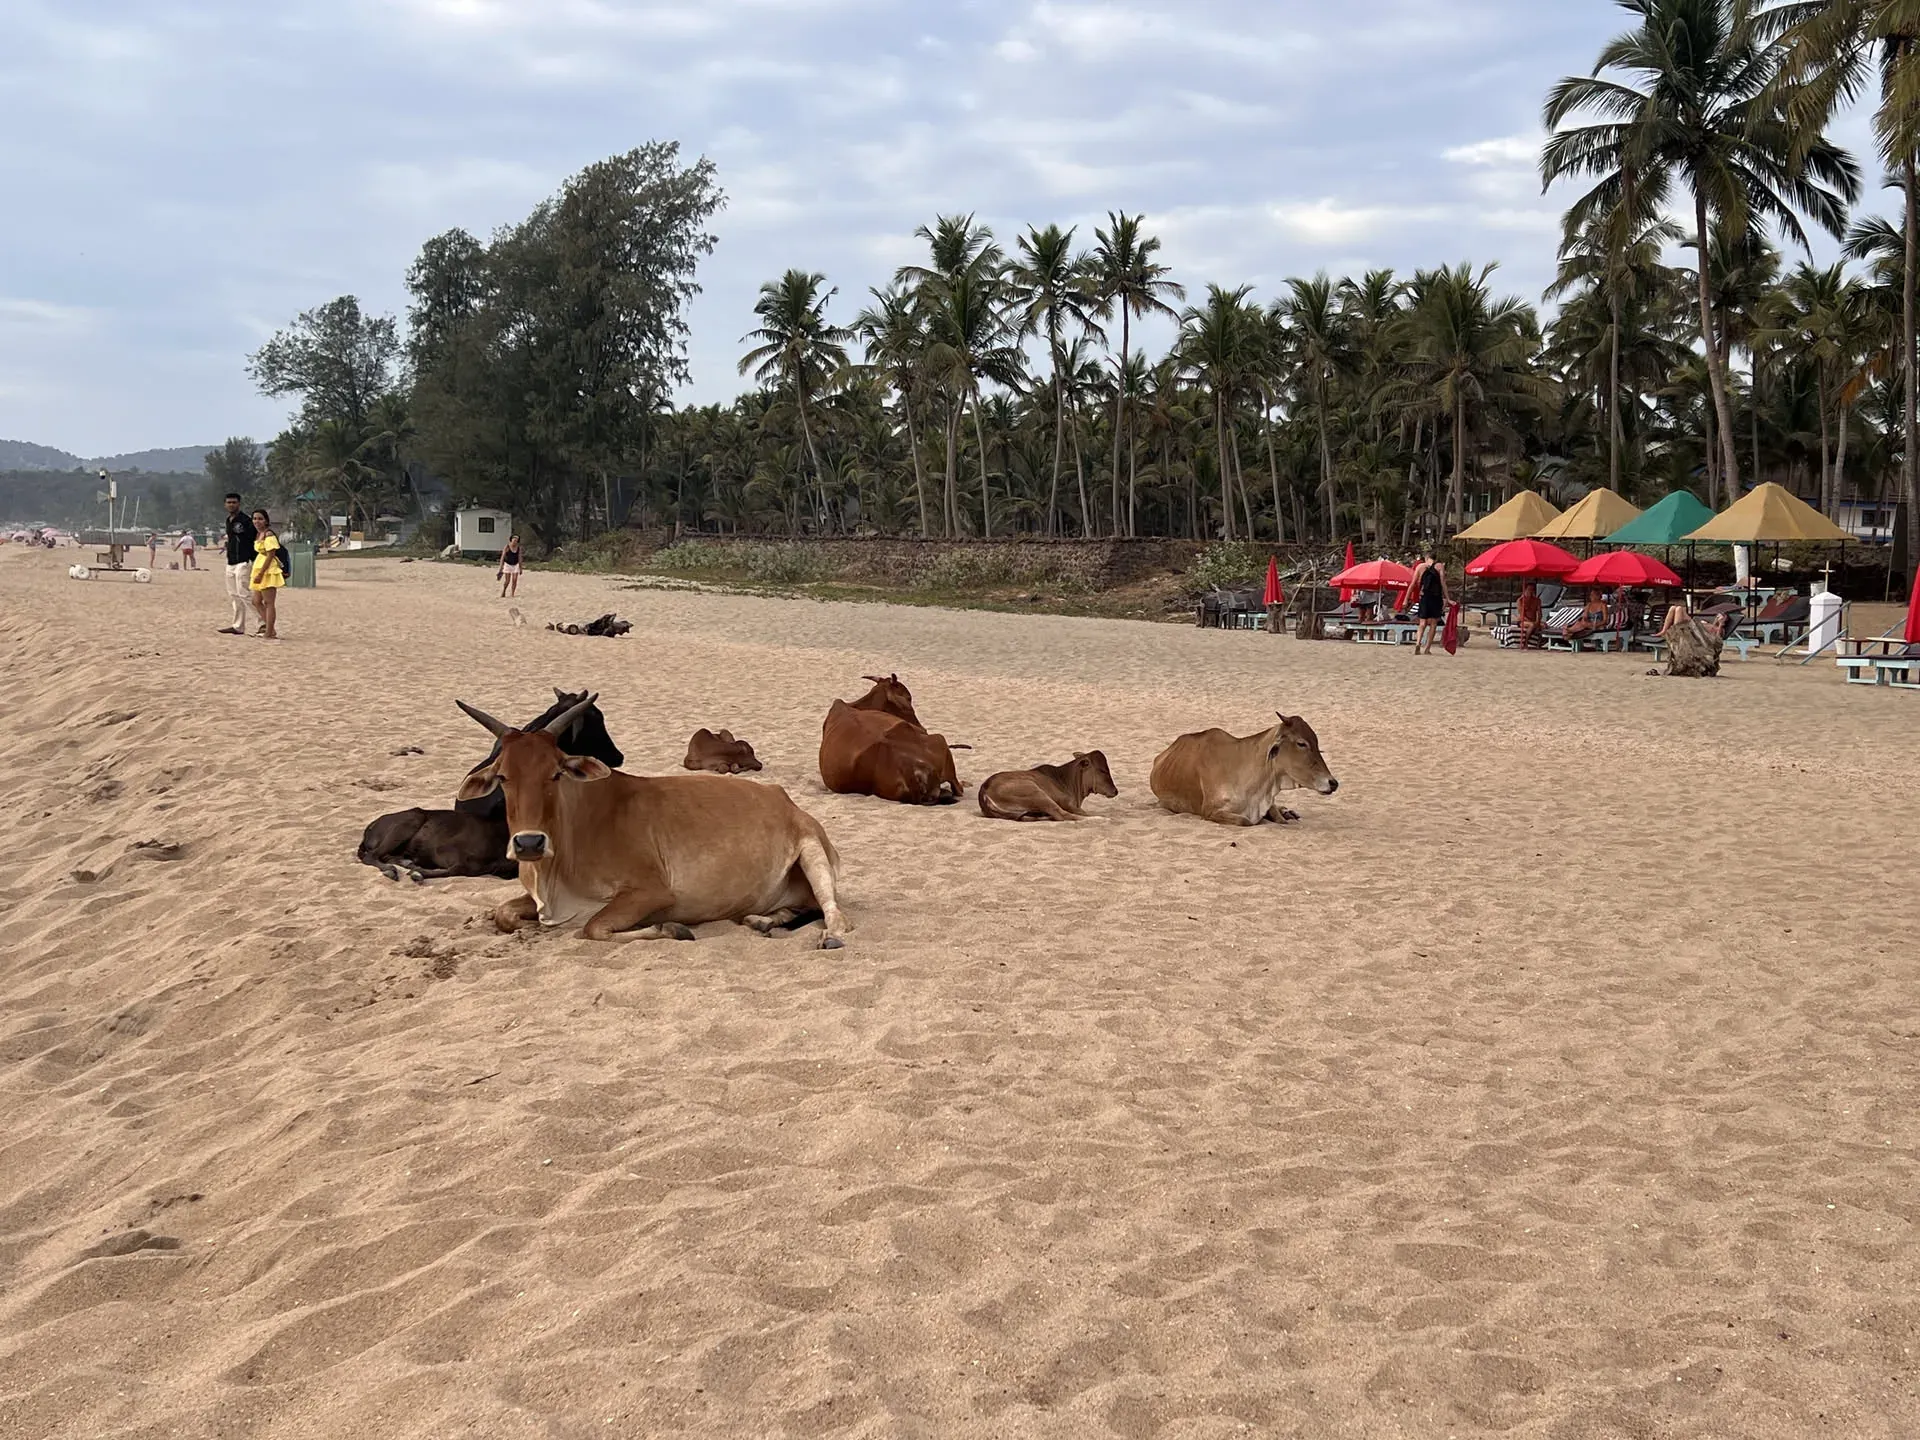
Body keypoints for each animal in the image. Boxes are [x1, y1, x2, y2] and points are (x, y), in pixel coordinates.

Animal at [356, 689, 624, 882]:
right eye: (502, 776)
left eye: (556, 773)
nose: (528, 843)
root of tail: (371, 826)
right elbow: (458, 868)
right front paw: (417, 871)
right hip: (408, 822)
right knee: (372, 855)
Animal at [456, 694, 849, 947]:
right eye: (503, 776)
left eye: (556, 773)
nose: (529, 843)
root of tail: (786, 800)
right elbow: (503, 912)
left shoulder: (652, 892)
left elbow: (593, 928)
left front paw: (671, 930)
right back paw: (760, 920)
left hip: (813, 853)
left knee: (833, 913)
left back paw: (828, 936)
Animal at [977, 751, 1117, 821]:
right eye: (1103, 770)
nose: (1115, 791)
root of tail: (984, 791)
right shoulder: (1069, 805)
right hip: (1037, 793)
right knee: (1062, 815)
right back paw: (1101, 819)